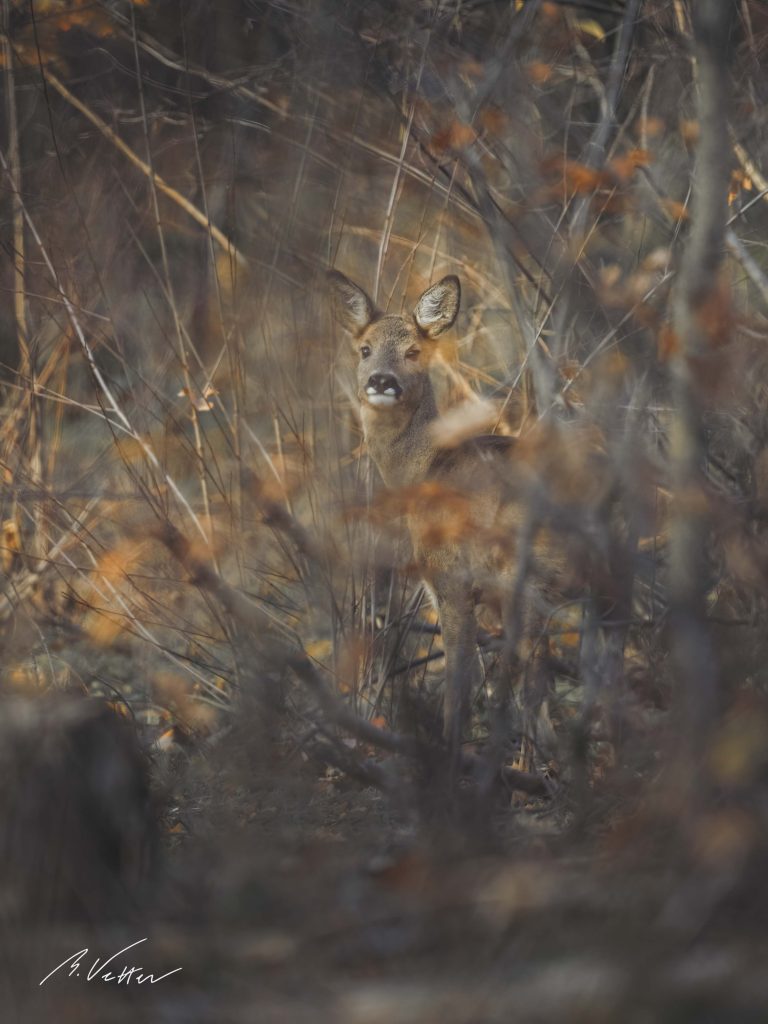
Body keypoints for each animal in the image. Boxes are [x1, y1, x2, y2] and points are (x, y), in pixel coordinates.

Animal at [327, 272, 573, 770]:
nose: (381, 380)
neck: (425, 469)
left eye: (413, 352)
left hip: (524, 575)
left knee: (529, 682)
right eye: (364, 348)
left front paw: (450, 753)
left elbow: (461, 679)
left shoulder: (449, 577)